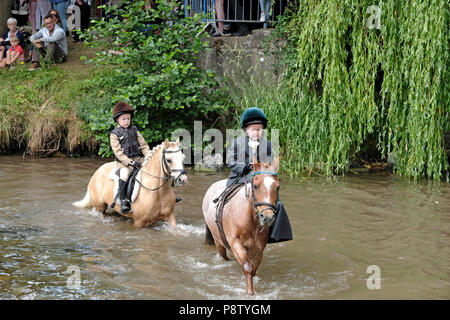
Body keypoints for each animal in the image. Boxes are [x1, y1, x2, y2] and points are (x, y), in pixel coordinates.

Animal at [202, 158, 280, 296]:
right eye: (255, 186)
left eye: (277, 187)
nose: (267, 217)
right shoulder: (235, 243)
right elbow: (248, 267)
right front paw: (249, 292)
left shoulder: (258, 249)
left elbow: (253, 269)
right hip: (218, 242)